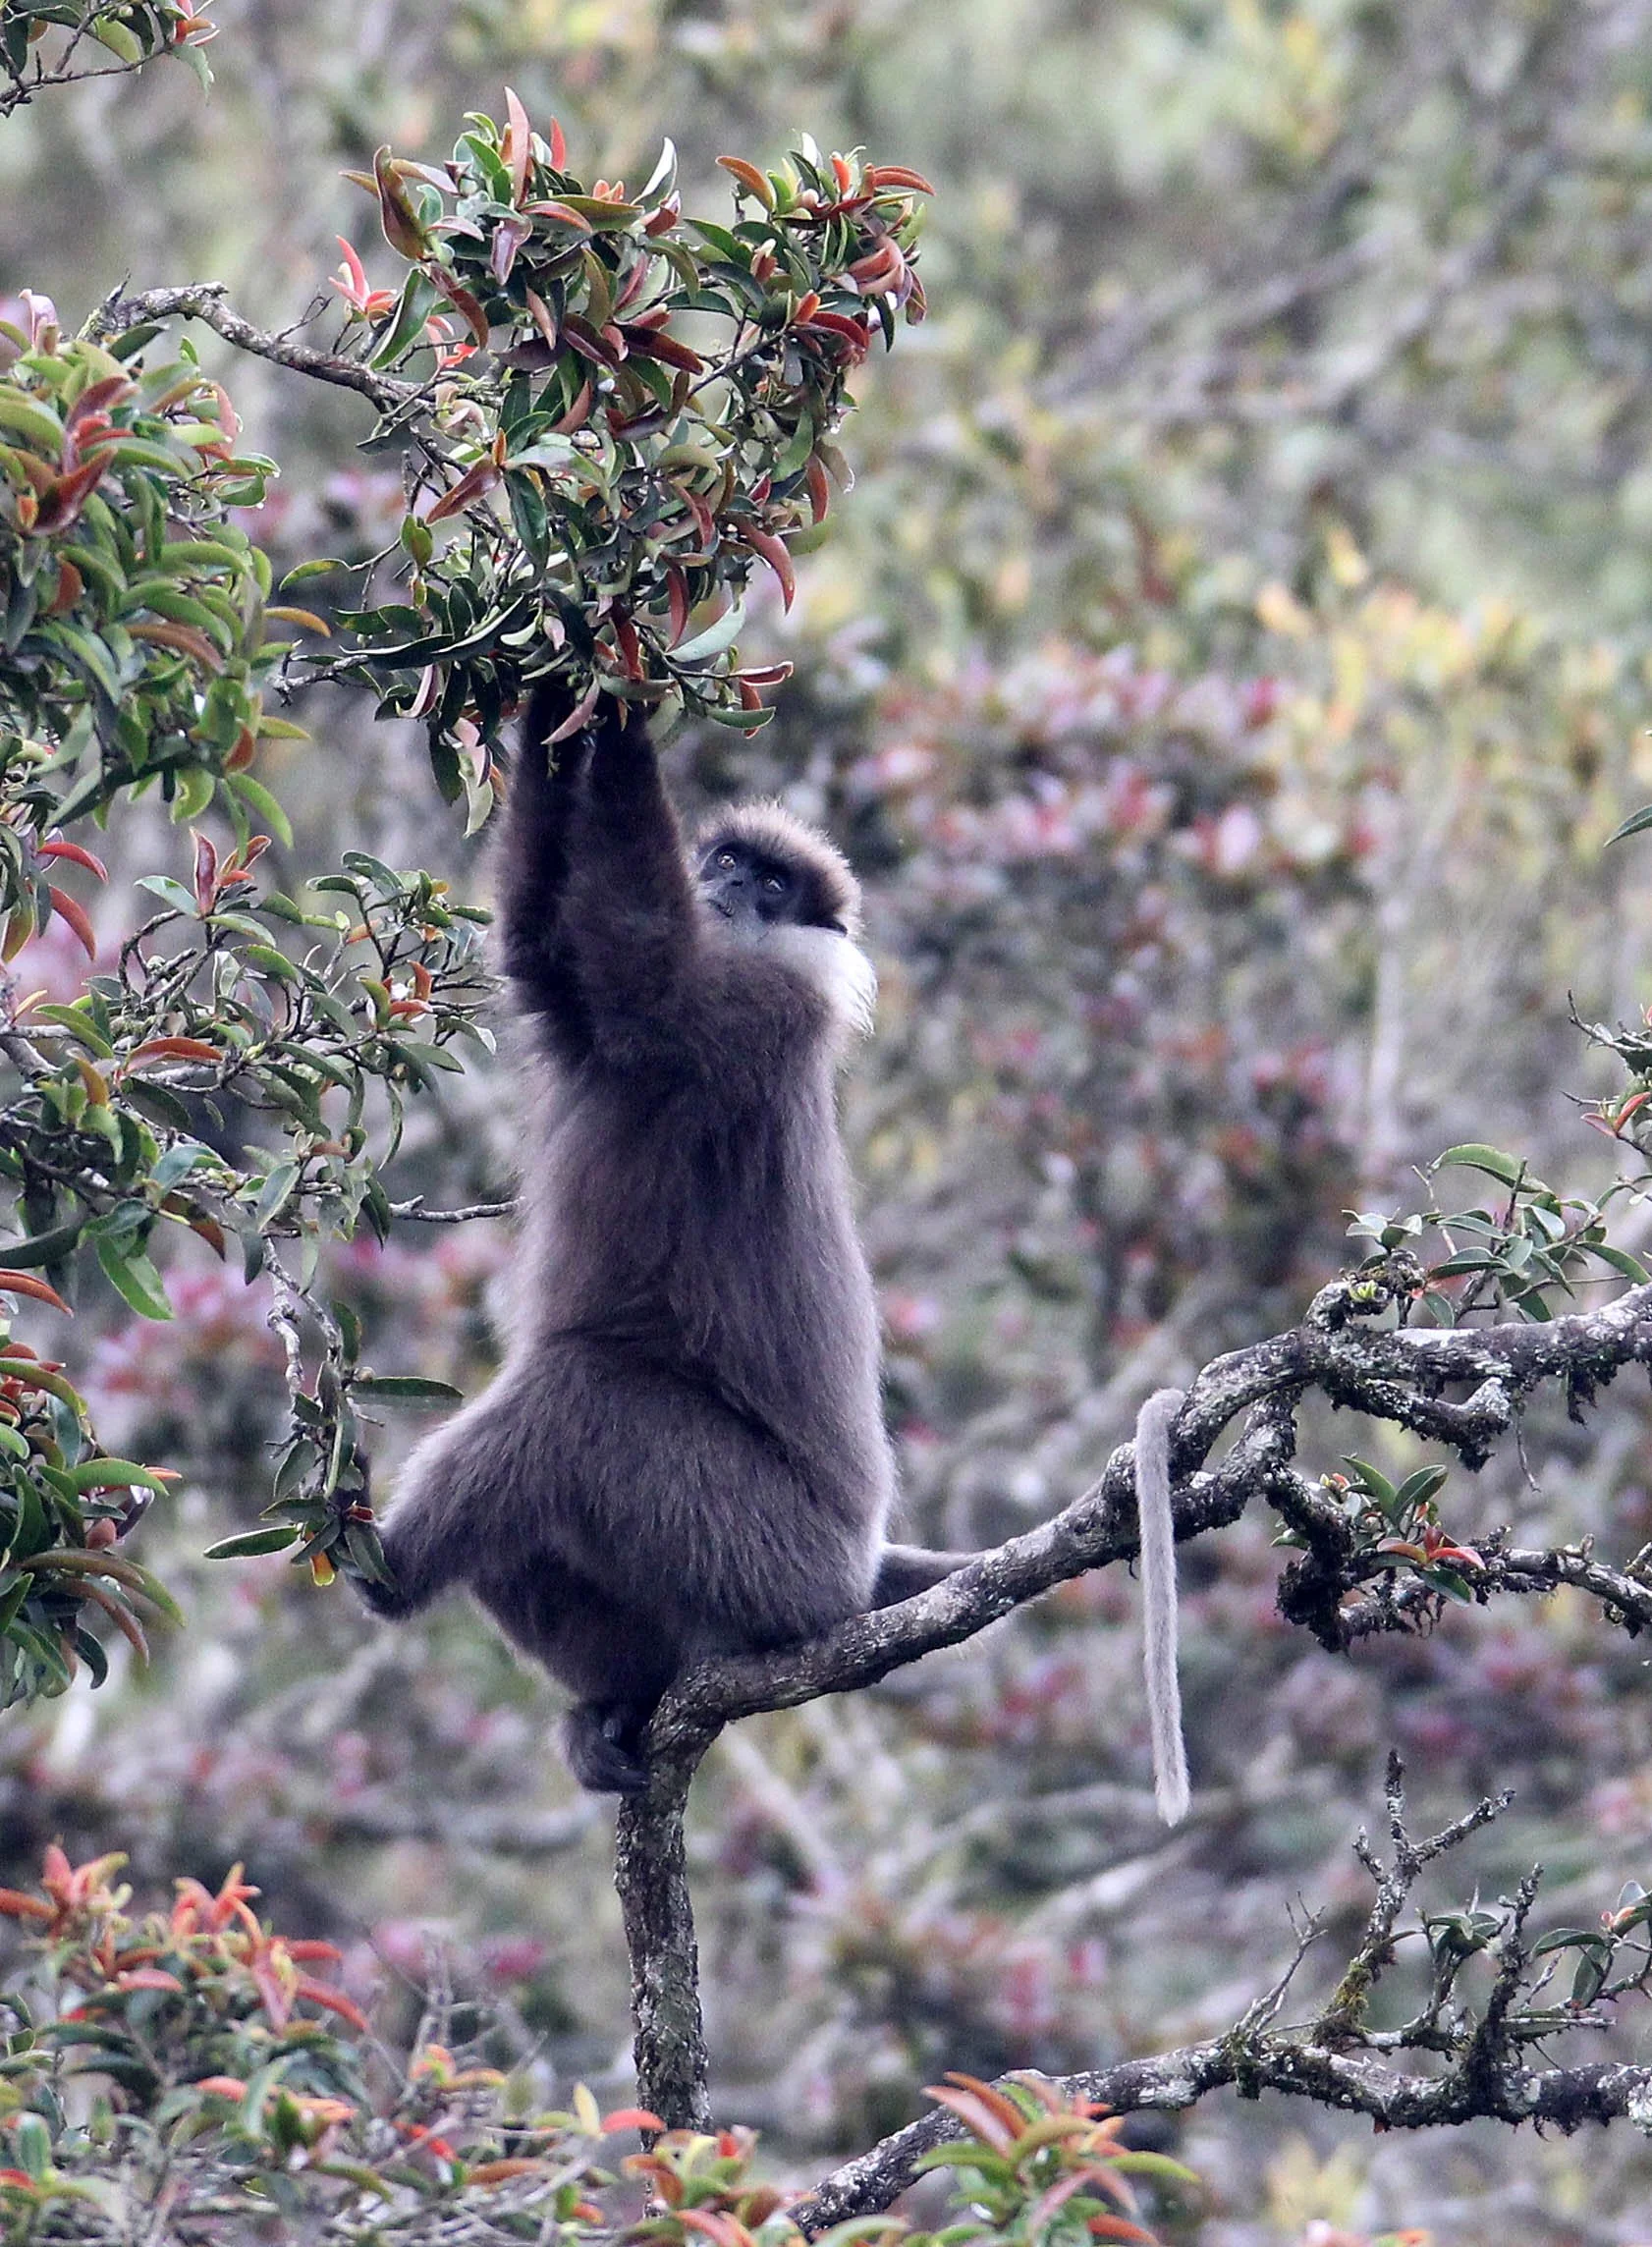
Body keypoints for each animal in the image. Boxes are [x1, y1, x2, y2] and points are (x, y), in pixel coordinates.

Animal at [358, 684, 975, 1794]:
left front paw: (613, 679)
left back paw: (384, 1572)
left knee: (573, 1399)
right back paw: (619, 1703)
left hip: (759, 1554)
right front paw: (555, 686)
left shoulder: (756, 1009)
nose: (724, 882)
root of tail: (855, 1567)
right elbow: (540, 940)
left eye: (771, 881)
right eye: (725, 859)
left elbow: (638, 955)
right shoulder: (579, 999)